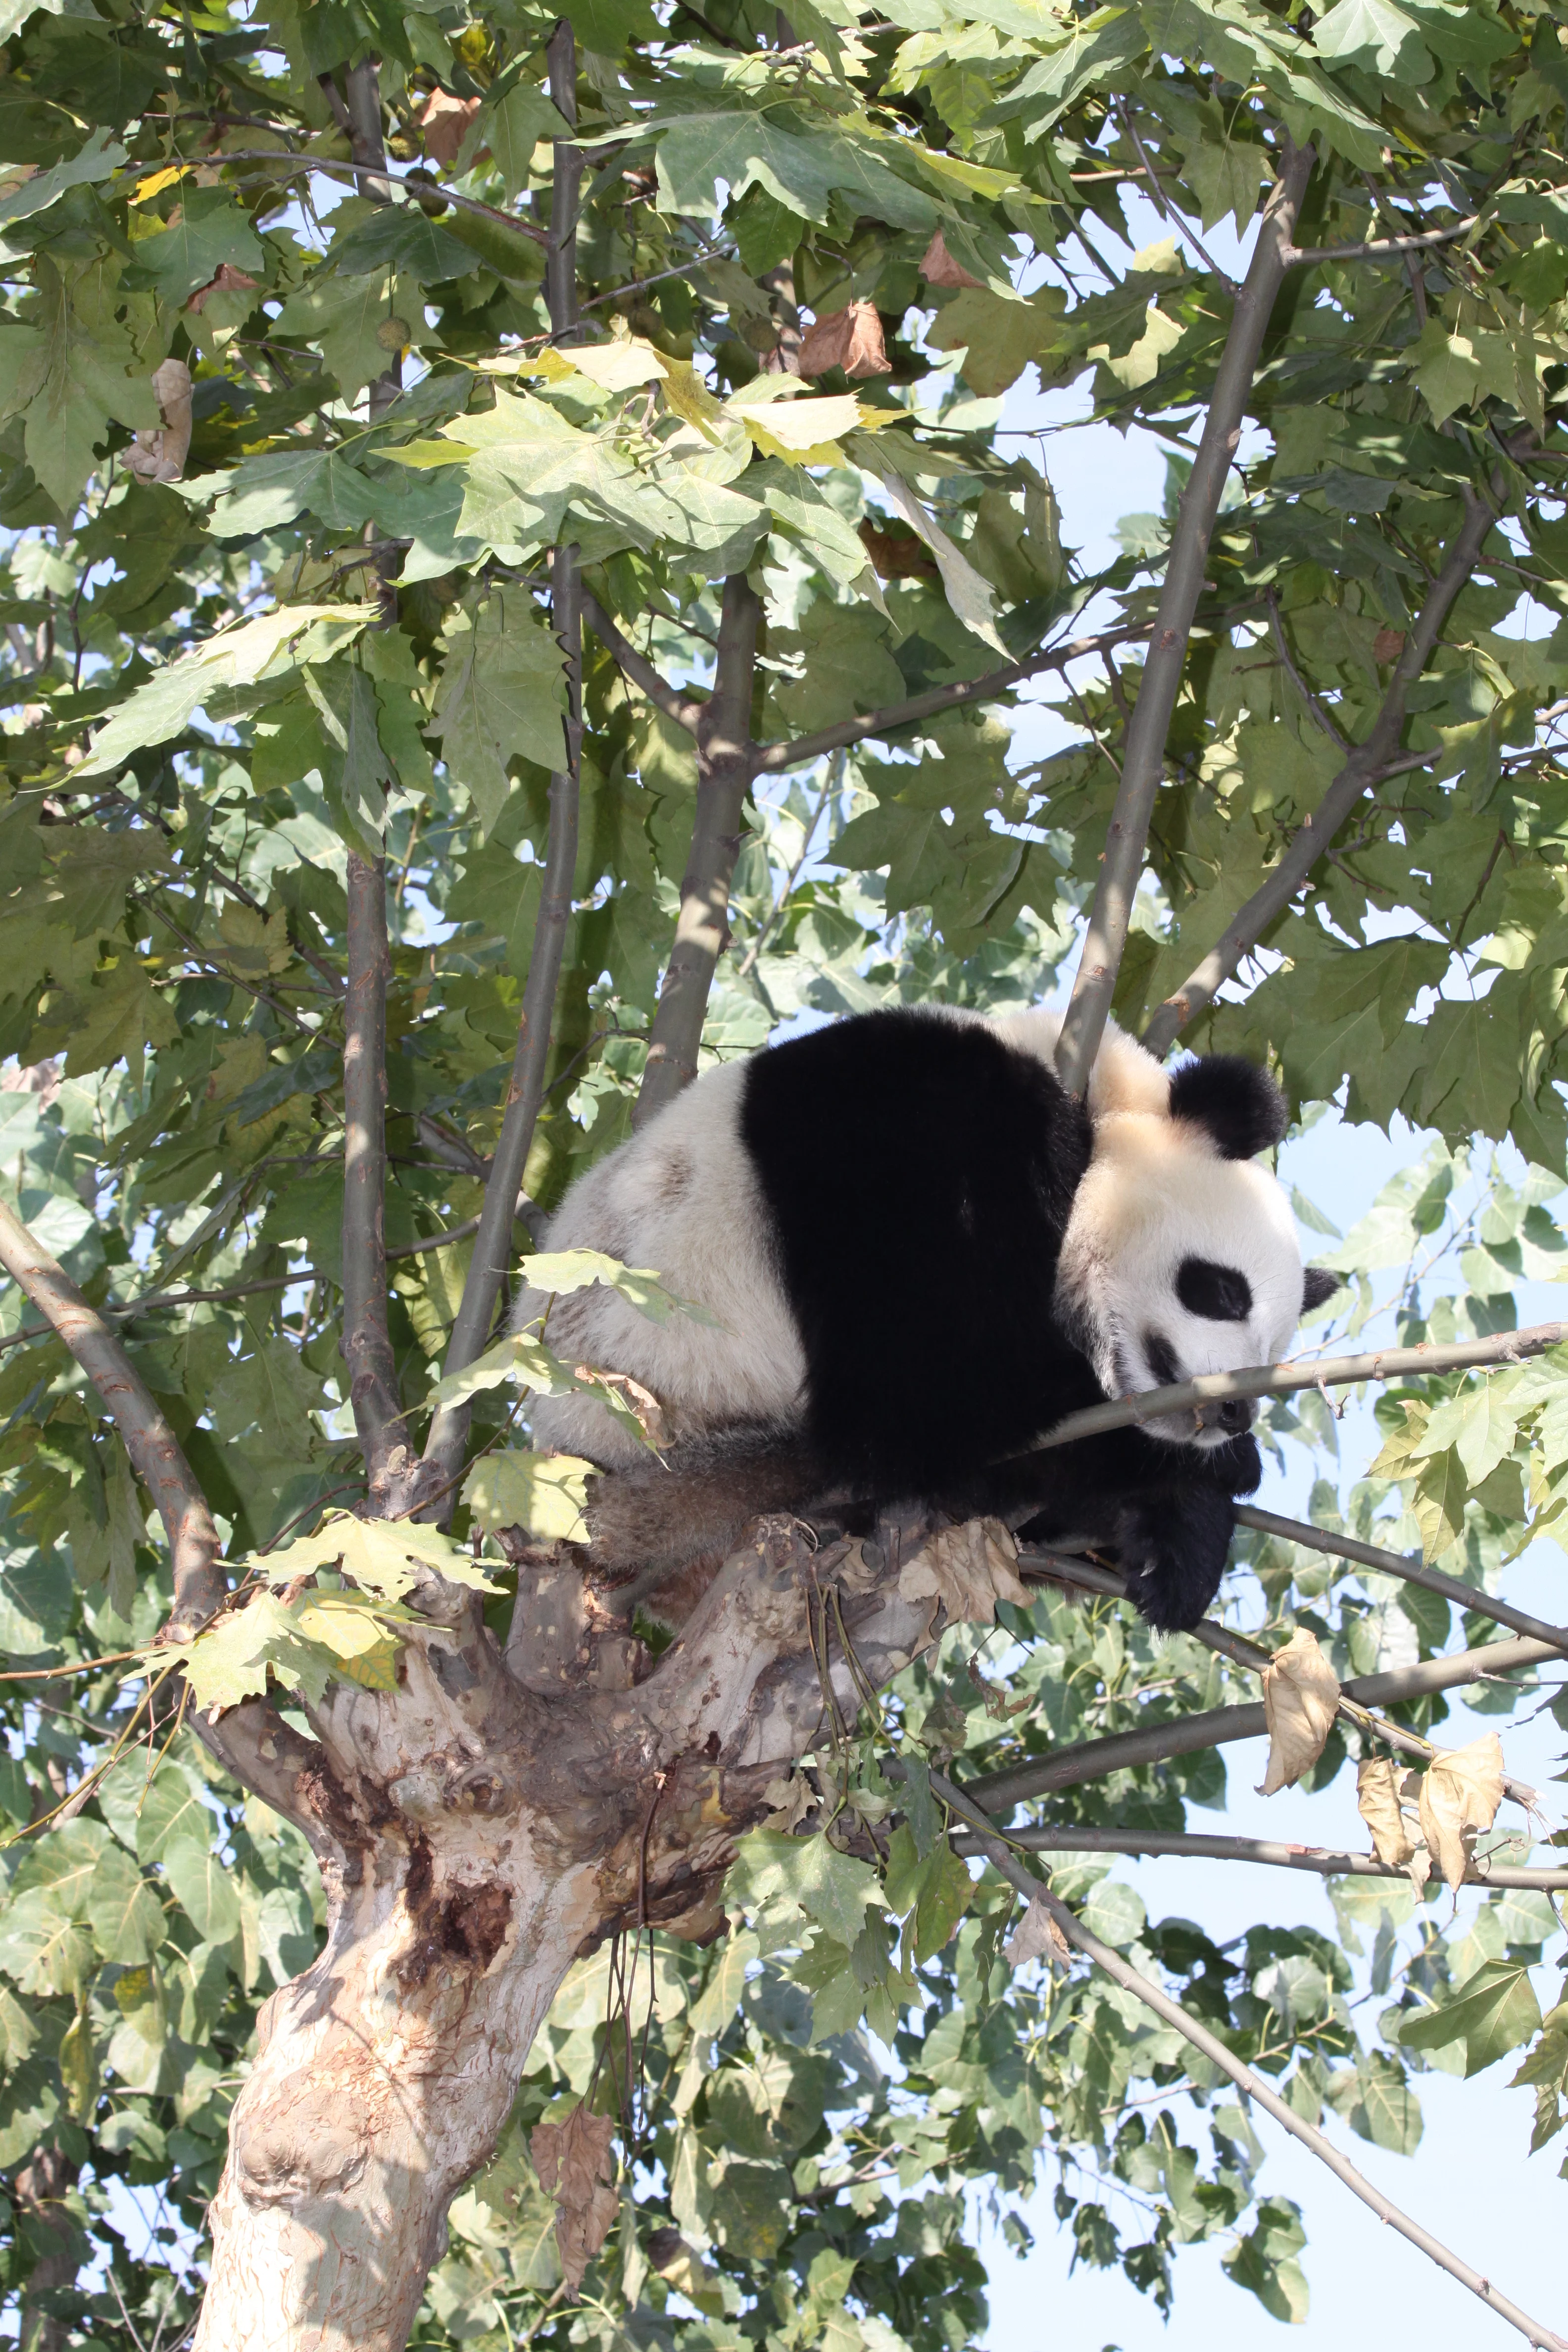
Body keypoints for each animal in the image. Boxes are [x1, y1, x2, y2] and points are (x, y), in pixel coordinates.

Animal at [513, 1006, 1338, 1632]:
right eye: (1223, 1292)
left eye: (1274, 1350)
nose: (1233, 1413)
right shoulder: (913, 1133)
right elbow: (923, 1400)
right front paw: (1210, 1472)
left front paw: (1178, 1550)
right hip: (663, 1428)